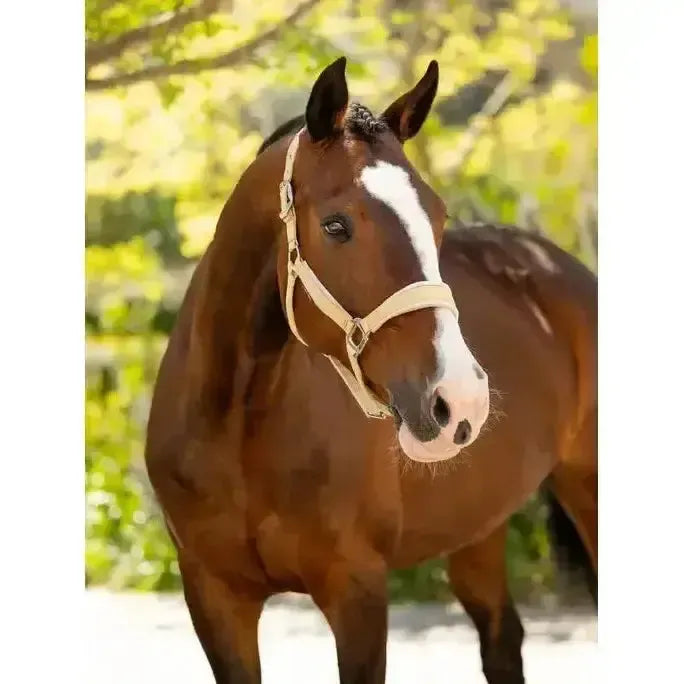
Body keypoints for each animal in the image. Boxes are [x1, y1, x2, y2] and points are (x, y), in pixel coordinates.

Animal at [145, 57, 597, 684]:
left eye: (438, 217)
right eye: (336, 226)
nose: (460, 399)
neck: (237, 428)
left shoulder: (357, 591)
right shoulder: (214, 596)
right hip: (479, 528)